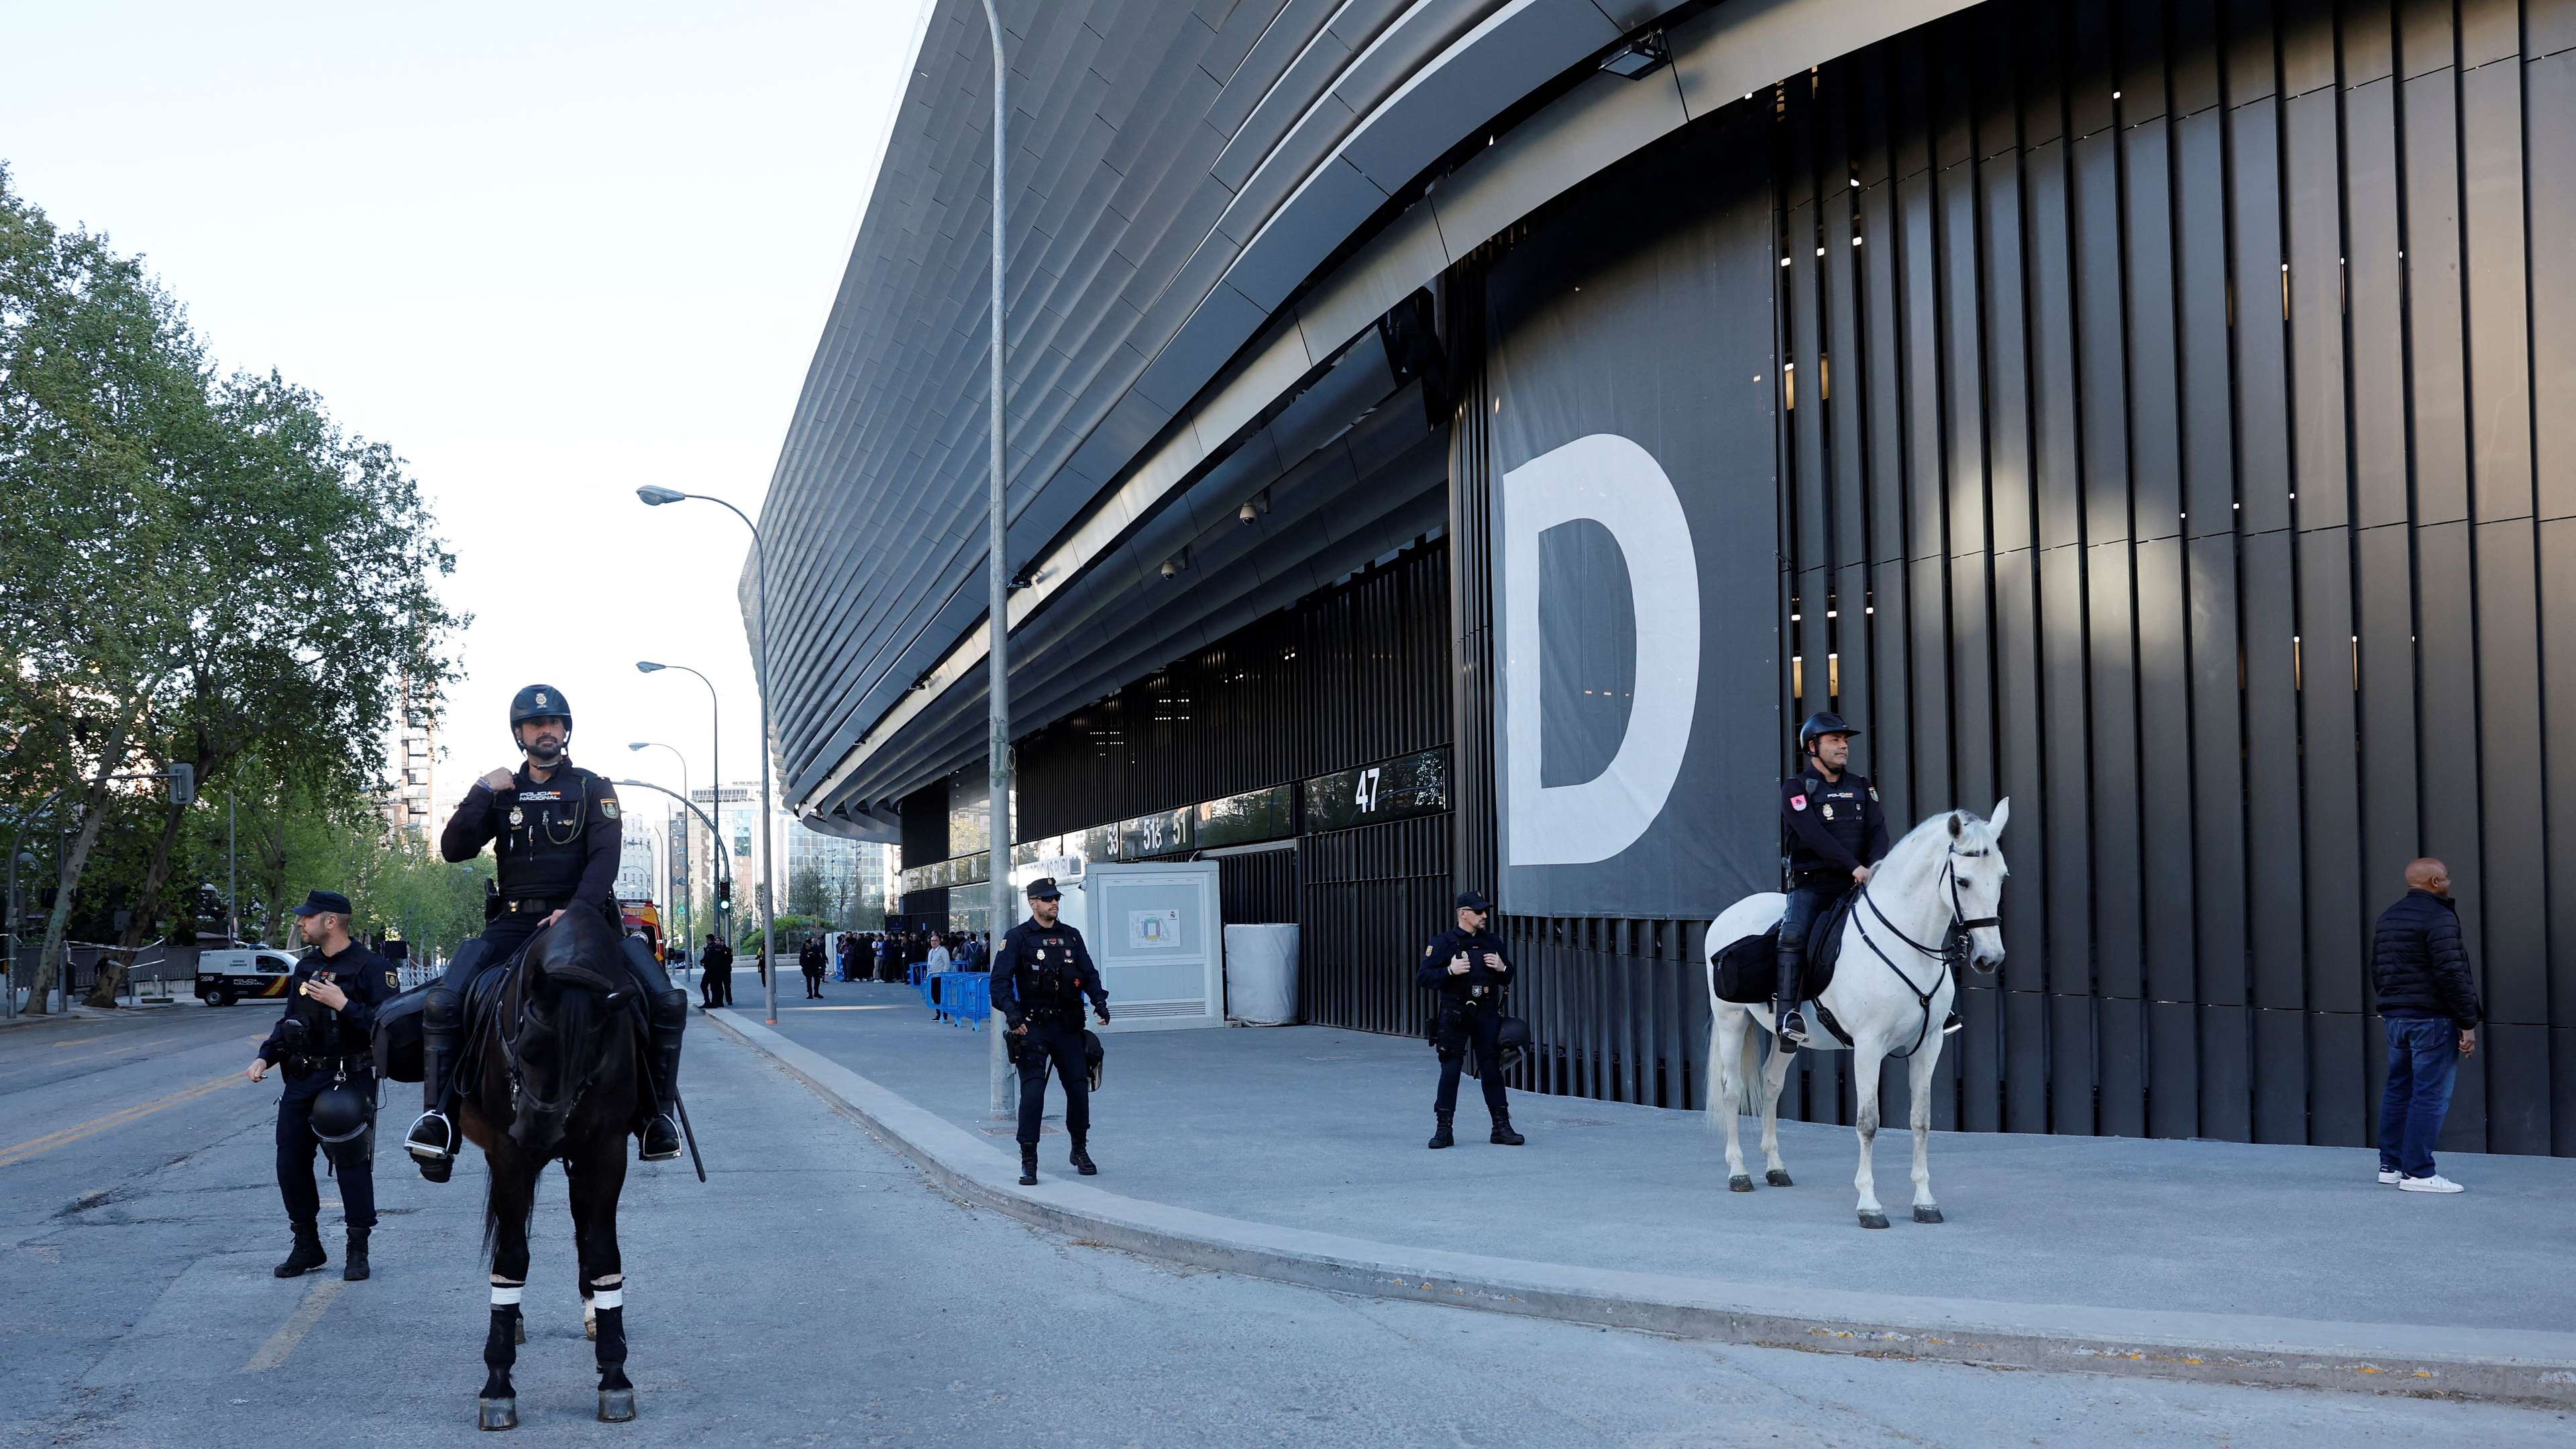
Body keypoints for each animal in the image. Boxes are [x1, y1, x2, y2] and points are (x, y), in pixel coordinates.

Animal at [468, 907, 659, 1423]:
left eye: (589, 1061)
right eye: (527, 1047)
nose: (538, 1137)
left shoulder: (606, 1152)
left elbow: (602, 1251)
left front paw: (614, 1374)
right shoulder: (508, 1154)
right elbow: (512, 1256)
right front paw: (498, 1382)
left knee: (582, 1227)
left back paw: (593, 1312)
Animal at [1700, 794, 2019, 1222]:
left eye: (2001, 878)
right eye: (1963, 881)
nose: (1990, 958)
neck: (1907, 943)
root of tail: (1729, 913)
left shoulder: (1930, 1045)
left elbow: (1921, 1120)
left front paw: (1925, 1201)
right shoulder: (1868, 1047)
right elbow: (1868, 1122)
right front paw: (1869, 1204)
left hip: (1787, 1037)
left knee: (1771, 1084)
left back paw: (1776, 1167)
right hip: (1731, 1020)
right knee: (1732, 1090)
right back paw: (1739, 1172)